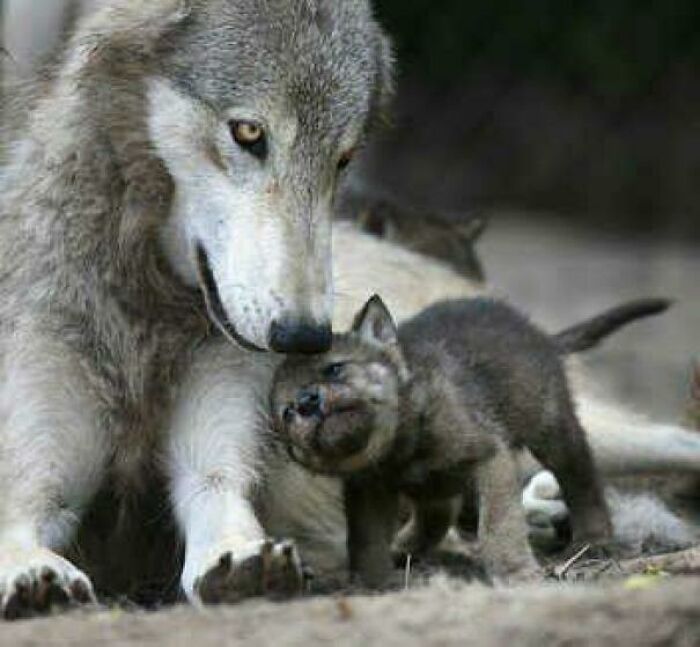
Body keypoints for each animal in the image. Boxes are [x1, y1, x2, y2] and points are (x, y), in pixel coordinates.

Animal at [271, 296, 670, 586]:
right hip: (439, 485)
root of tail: (540, 333)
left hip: (552, 427)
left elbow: (499, 523)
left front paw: (515, 573)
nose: (306, 402)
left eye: (334, 369)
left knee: (581, 477)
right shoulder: (368, 490)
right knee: (437, 517)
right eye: (287, 413)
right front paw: (374, 583)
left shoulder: (490, 456)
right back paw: (406, 548)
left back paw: (592, 538)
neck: (397, 450)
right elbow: (366, 540)